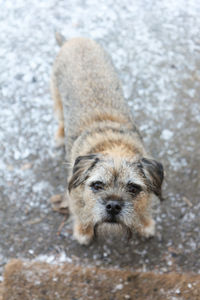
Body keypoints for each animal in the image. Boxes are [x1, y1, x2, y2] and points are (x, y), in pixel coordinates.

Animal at [50, 34, 164, 245]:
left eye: (133, 188)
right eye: (97, 185)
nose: (113, 206)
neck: (113, 146)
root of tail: (75, 39)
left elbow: (143, 208)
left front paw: (144, 225)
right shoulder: (76, 194)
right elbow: (82, 212)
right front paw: (84, 231)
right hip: (56, 96)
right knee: (60, 117)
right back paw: (60, 135)